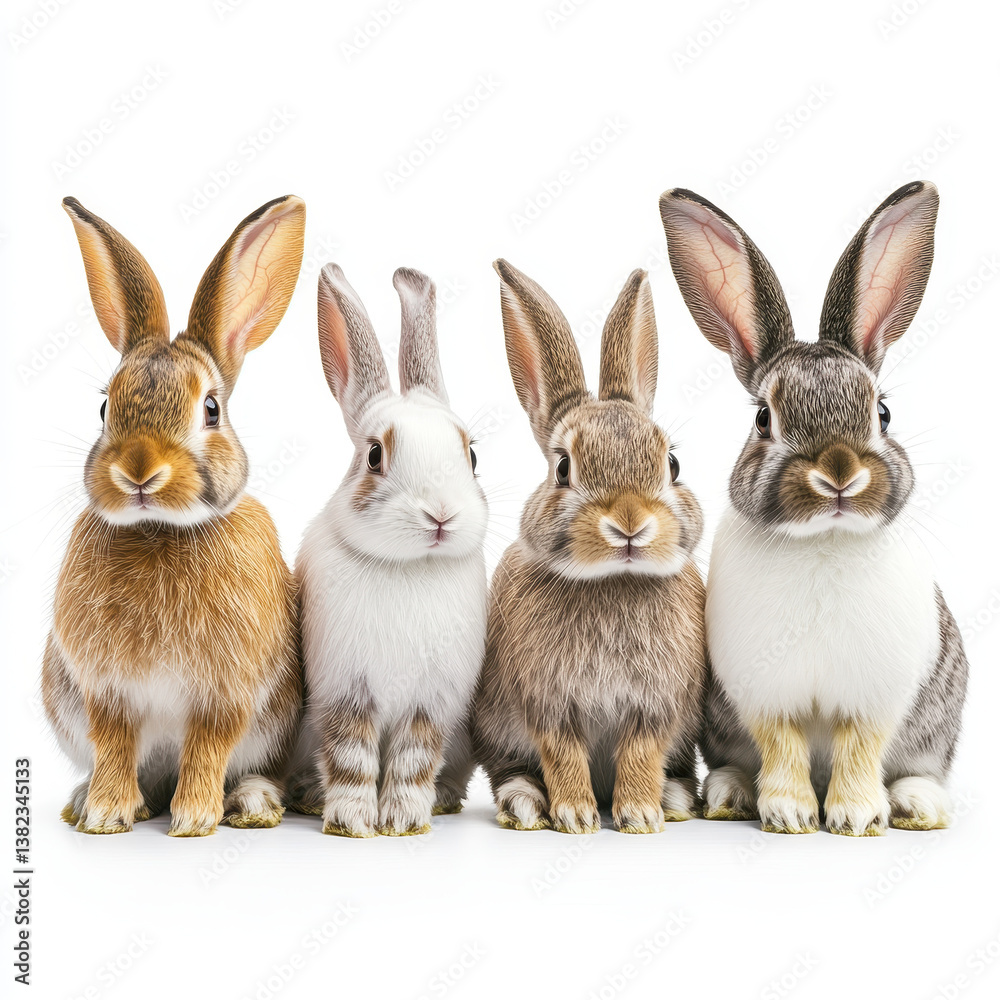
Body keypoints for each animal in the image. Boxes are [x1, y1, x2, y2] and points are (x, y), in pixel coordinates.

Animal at [42, 195, 306, 837]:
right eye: (104, 407)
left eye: (210, 408)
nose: (139, 471)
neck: (161, 530)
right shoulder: (107, 691)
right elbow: (115, 742)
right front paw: (106, 814)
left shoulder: (227, 693)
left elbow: (209, 746)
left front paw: (193, 820)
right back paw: (90, 801)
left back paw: (250, 804)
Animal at [289, 263, 488, 837]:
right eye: (375, 455)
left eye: (471, 456)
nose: (440, 515)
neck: (410, 567)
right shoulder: (345, 692)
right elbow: (350, 756)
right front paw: (353, 821)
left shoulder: (432, 703)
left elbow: (412, 759)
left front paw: (402, 819)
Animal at [471, 260, 707, 835]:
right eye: (563, 468)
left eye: (672, 464)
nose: (629, 523)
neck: (613, 581)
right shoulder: (548, 702)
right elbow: (562, 753)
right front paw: (576, 815)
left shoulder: (657, 705)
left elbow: (642, 752)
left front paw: (640, 815)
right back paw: (526, 802)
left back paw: (674, 798)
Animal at [660, 181, 969, 836]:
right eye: (762, 419)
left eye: (882, 412)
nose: (839, 475)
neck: (823, 541)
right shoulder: (765, 693)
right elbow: (782, 744)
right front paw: (790, 812)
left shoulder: (875, 697)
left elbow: (860, 746)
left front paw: (854, 816)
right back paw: (730, 794)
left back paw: (916, 804)